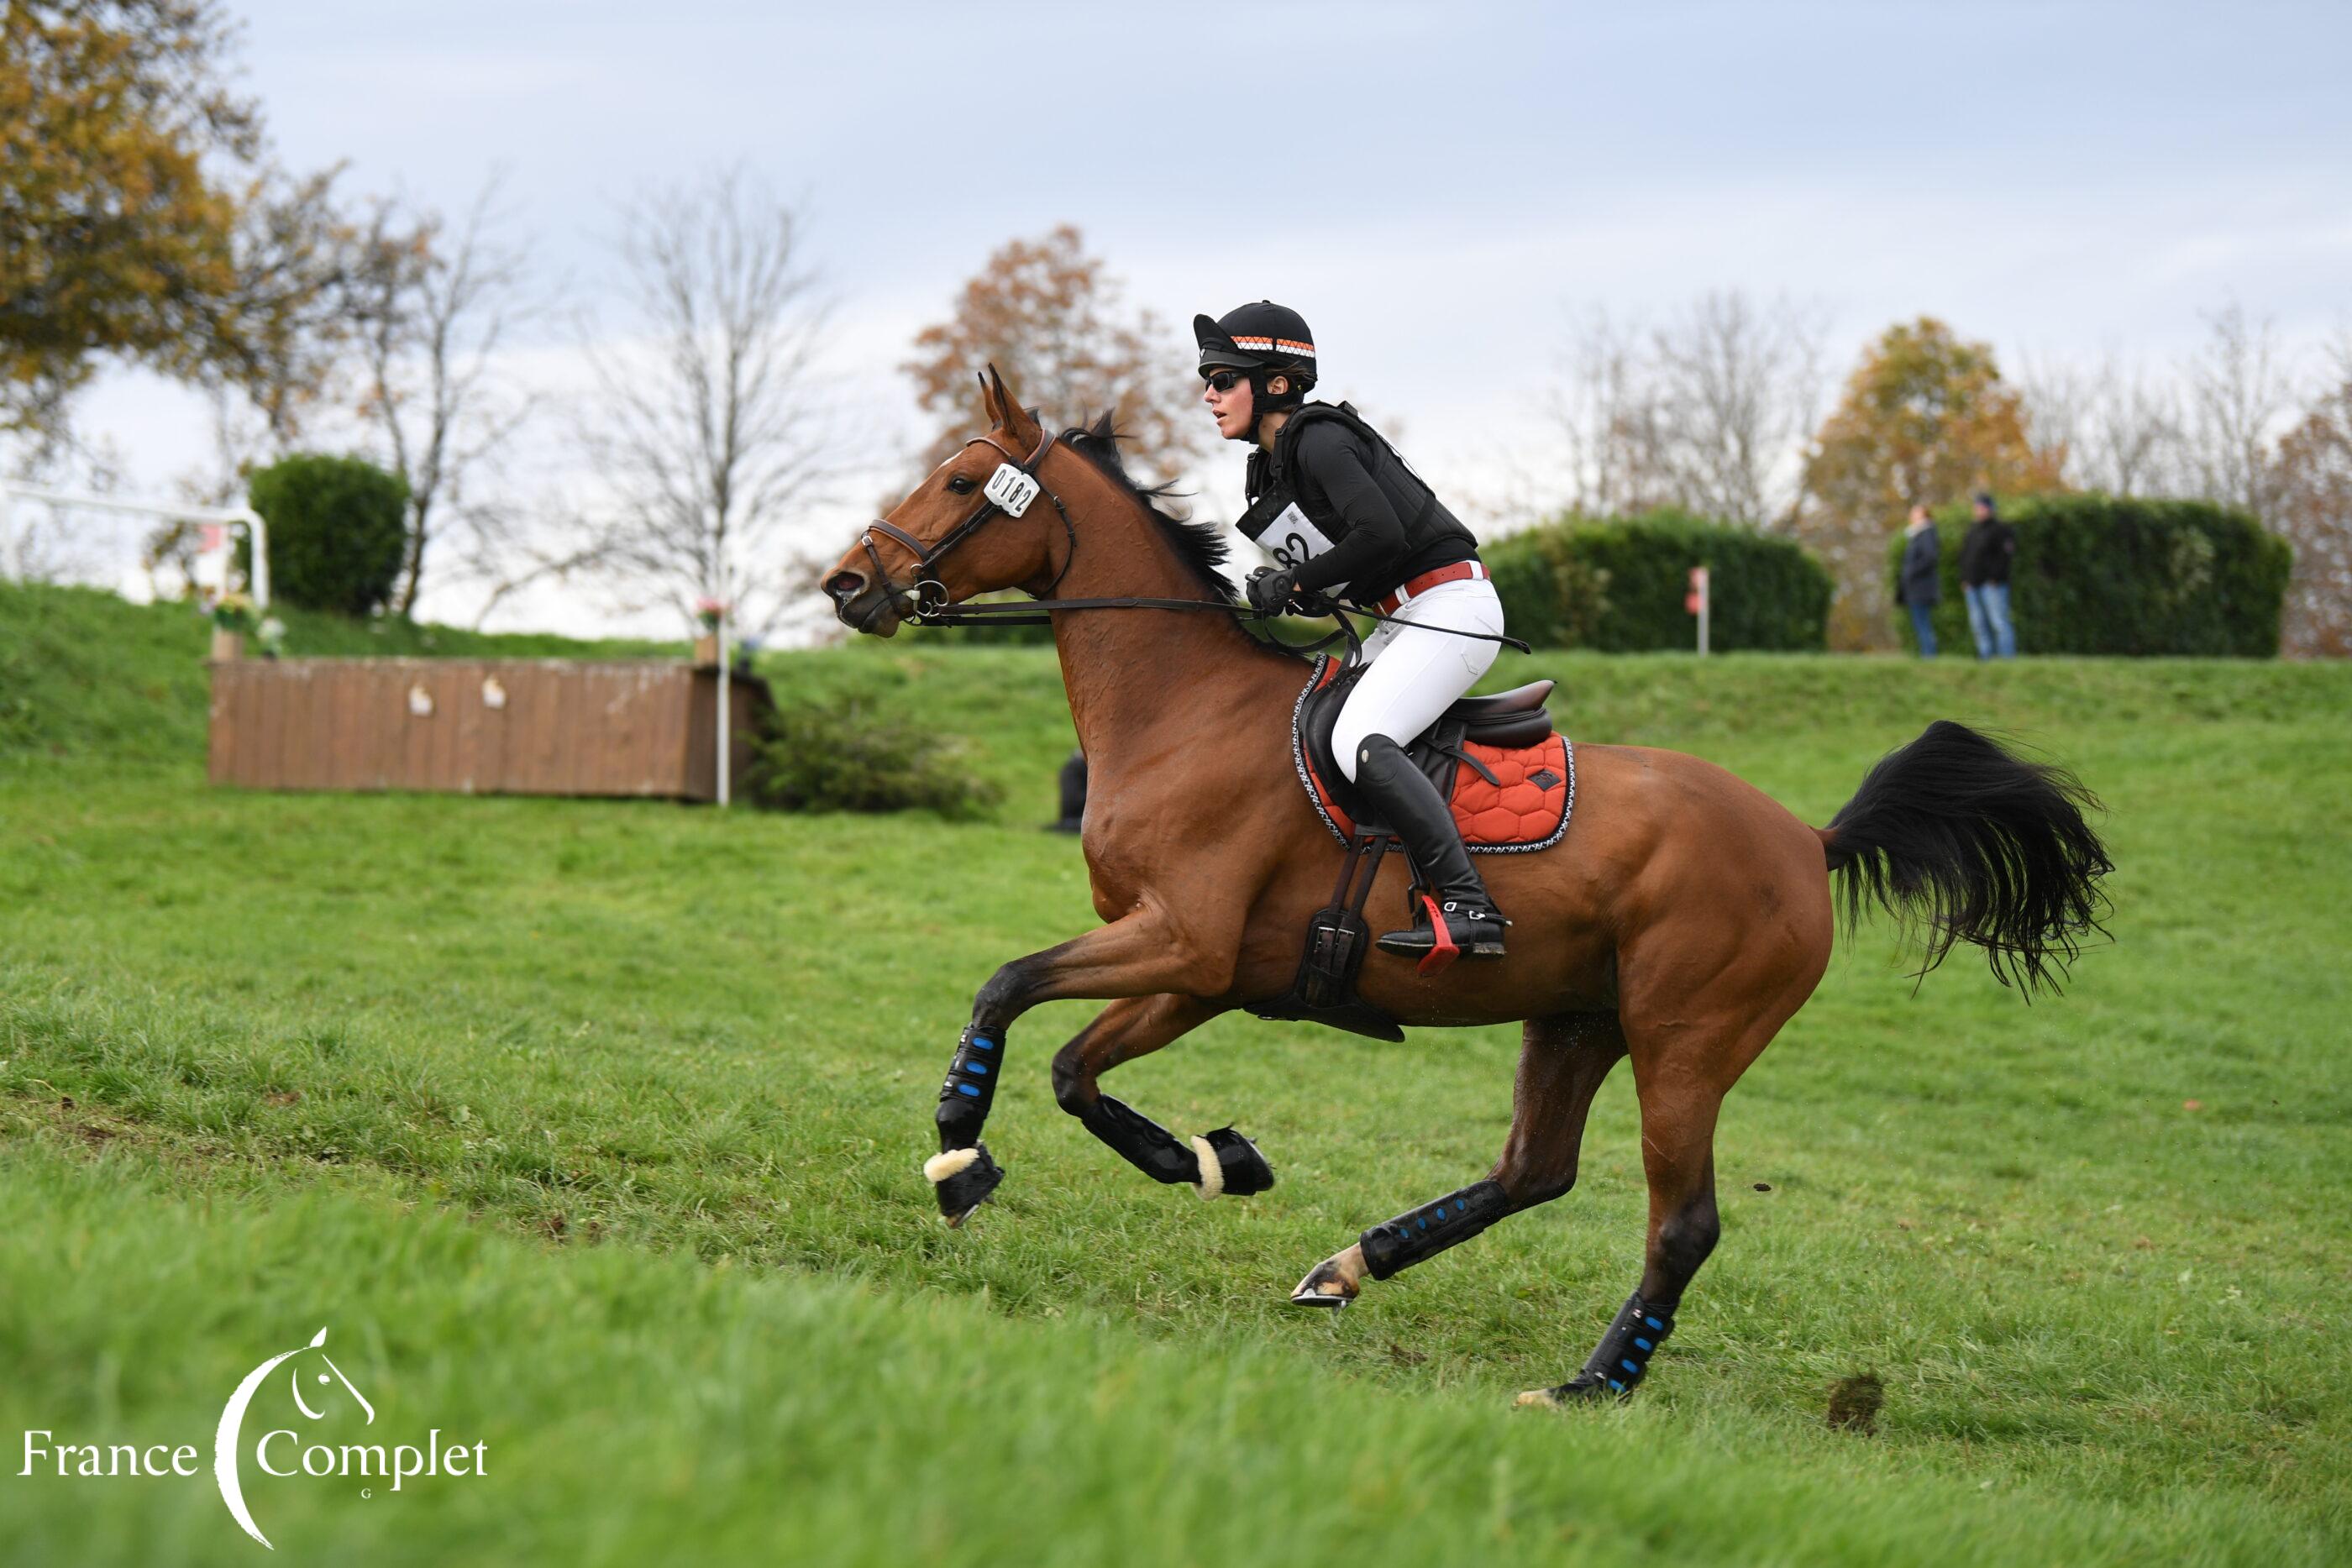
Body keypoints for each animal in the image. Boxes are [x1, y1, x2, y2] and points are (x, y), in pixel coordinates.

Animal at [821, 367, 2110, 1404]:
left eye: (957, 479)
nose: (843, 585)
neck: (1181, 708)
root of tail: (1807, 835)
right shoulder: (1204, 969)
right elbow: (1077, 1070)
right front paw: (1218, 1161)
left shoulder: (1181, 942)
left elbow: (1005, 989)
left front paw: (958, 1157)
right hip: (1577, 1015)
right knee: (1534, 1170)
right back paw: (1348, 1266)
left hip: (1686, 1038)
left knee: (1682, 1222)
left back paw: (1592, 1383)